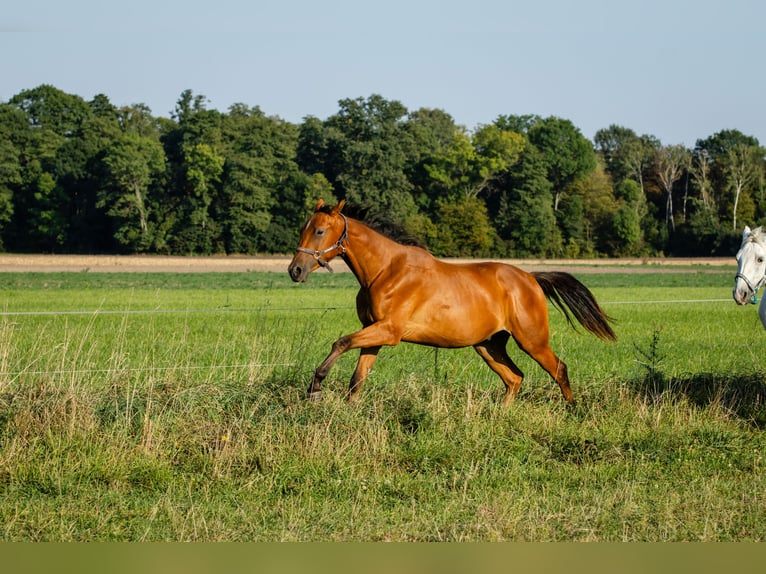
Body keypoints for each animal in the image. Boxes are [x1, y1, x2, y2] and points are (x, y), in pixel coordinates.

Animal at [288, 200, 616, 408]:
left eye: (319, 231)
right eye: (303, 229)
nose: (295, 271)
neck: (385, 270)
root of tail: (530, 279)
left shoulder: (389, 331)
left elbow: (340, 342)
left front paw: (315, 388)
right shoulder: (374, 331)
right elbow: (358, 379)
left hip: (532, 340)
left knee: (558, 369)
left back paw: (572, 410)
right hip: (488, 345)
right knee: (514, 378)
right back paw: (500, 416)